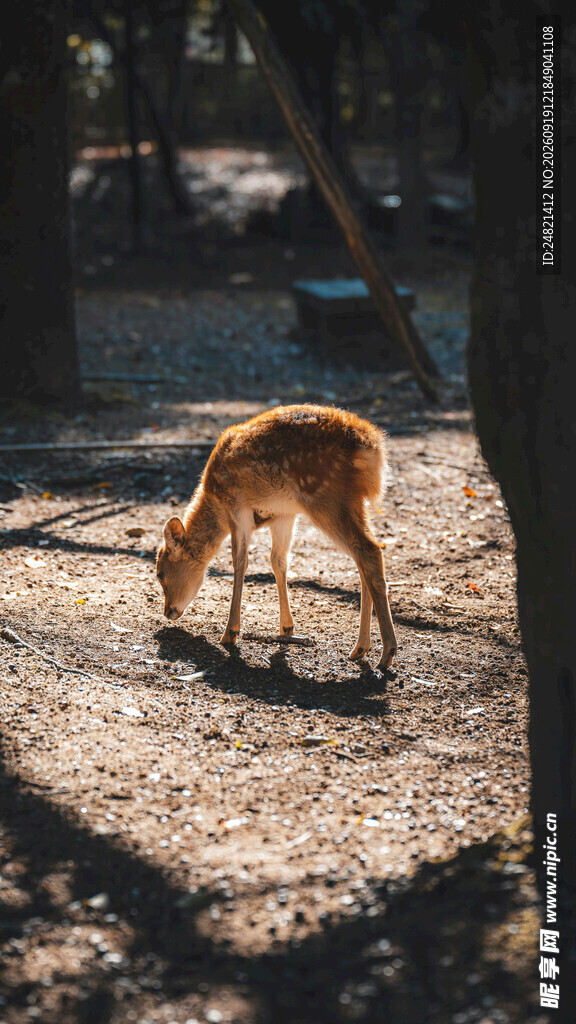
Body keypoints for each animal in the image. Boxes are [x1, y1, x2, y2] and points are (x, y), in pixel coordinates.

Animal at [156, 404, 397, 670]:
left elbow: (240, 562)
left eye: (160, 573)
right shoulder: (284, 515)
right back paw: (360, 649)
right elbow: (278, 561)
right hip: (353, 503)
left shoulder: (237, 509)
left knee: (369, 550)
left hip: (328, 498)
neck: (214, 502)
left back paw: (386, 653)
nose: (168, 611)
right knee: (365, 555)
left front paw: (230, 632)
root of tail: (373, 449)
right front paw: (286, 627)